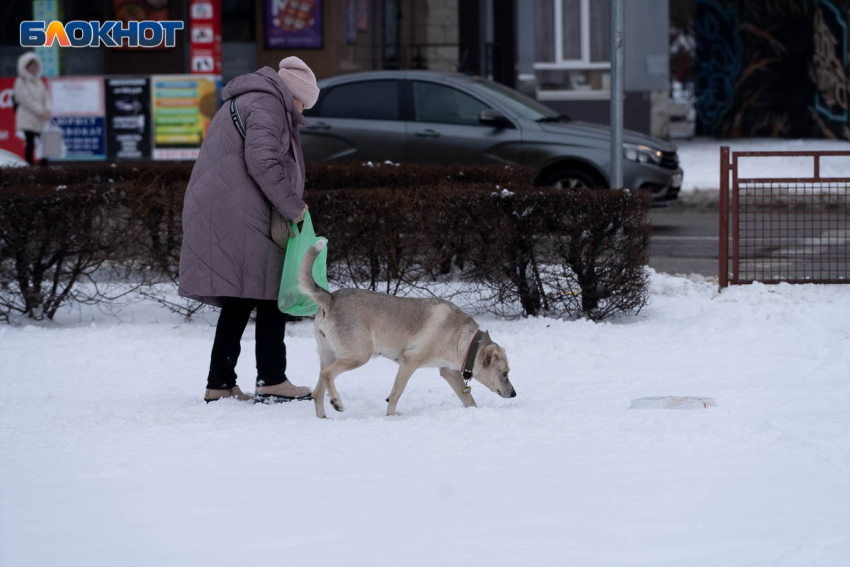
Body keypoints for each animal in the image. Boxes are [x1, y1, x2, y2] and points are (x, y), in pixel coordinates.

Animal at [298, 242, 512, 420]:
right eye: (505, 373)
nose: (514, 393)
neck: (465, 341)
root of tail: (331, 299)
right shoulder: (409, 363)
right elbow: (396, 393)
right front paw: (391, 415)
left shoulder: (448, 372)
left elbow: (469, 400)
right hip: (358, 355)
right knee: (328, 375)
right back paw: (337, 403)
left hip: (330, 354)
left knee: (318, 390)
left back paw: (323, 418)